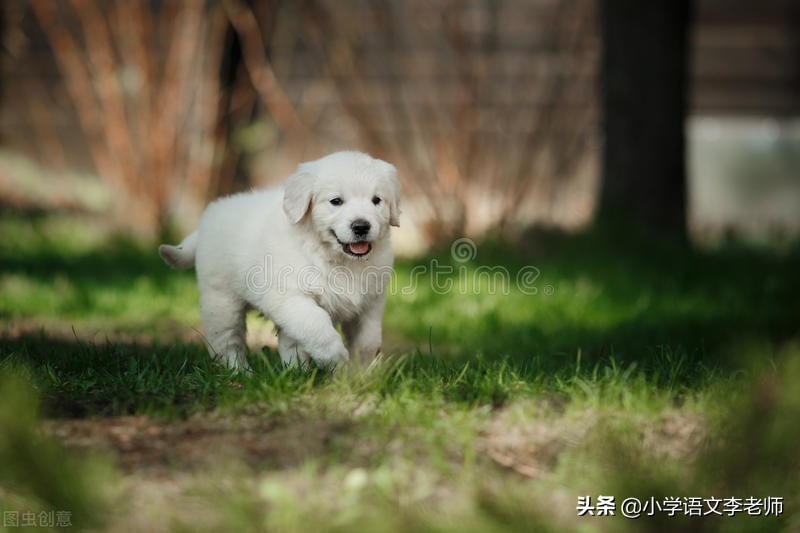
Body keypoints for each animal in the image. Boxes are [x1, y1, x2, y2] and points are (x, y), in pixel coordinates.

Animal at [159, 150, 400, 370]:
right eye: (336, 201)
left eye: (376, 200)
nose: (361, 226)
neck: (336, 258)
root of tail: (205, 221)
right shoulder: (290, 297)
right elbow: (318, 325)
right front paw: (336, 359)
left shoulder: (371, 302)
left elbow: (368, 340)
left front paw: (361, 374)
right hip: (220, 301)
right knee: (227, 341)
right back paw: (239, 373)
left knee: (289, 343)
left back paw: (295, 373)